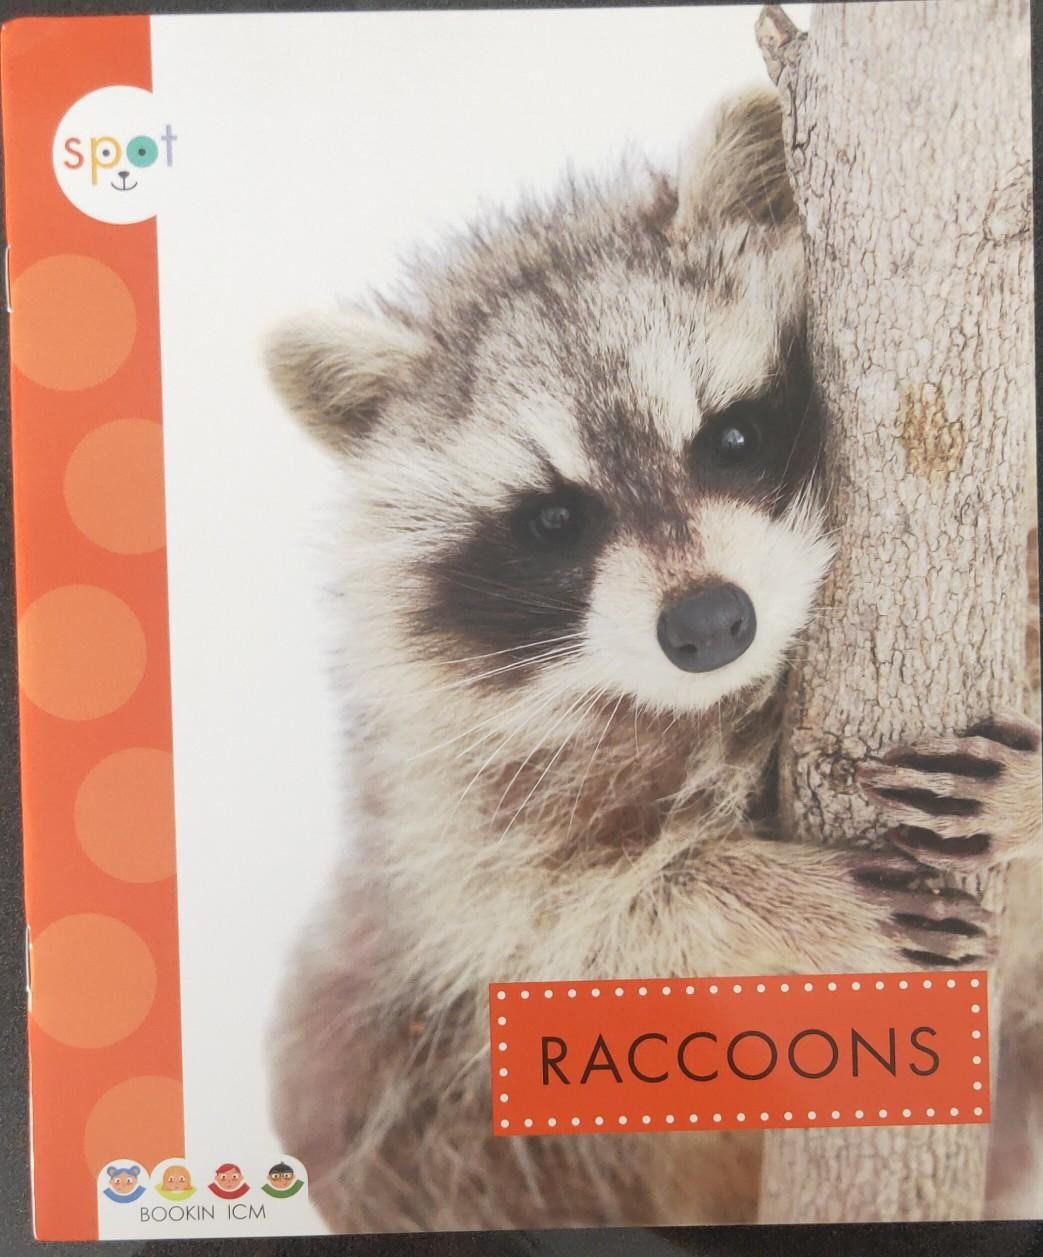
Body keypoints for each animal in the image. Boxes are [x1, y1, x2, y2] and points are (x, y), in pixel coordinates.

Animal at [265, 90, 1042, 1231]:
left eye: (730, 438)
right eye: (553, 519)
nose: (710, 624)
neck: (733, 697)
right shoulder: (446, 814)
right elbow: (547, 931)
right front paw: (751, 898)